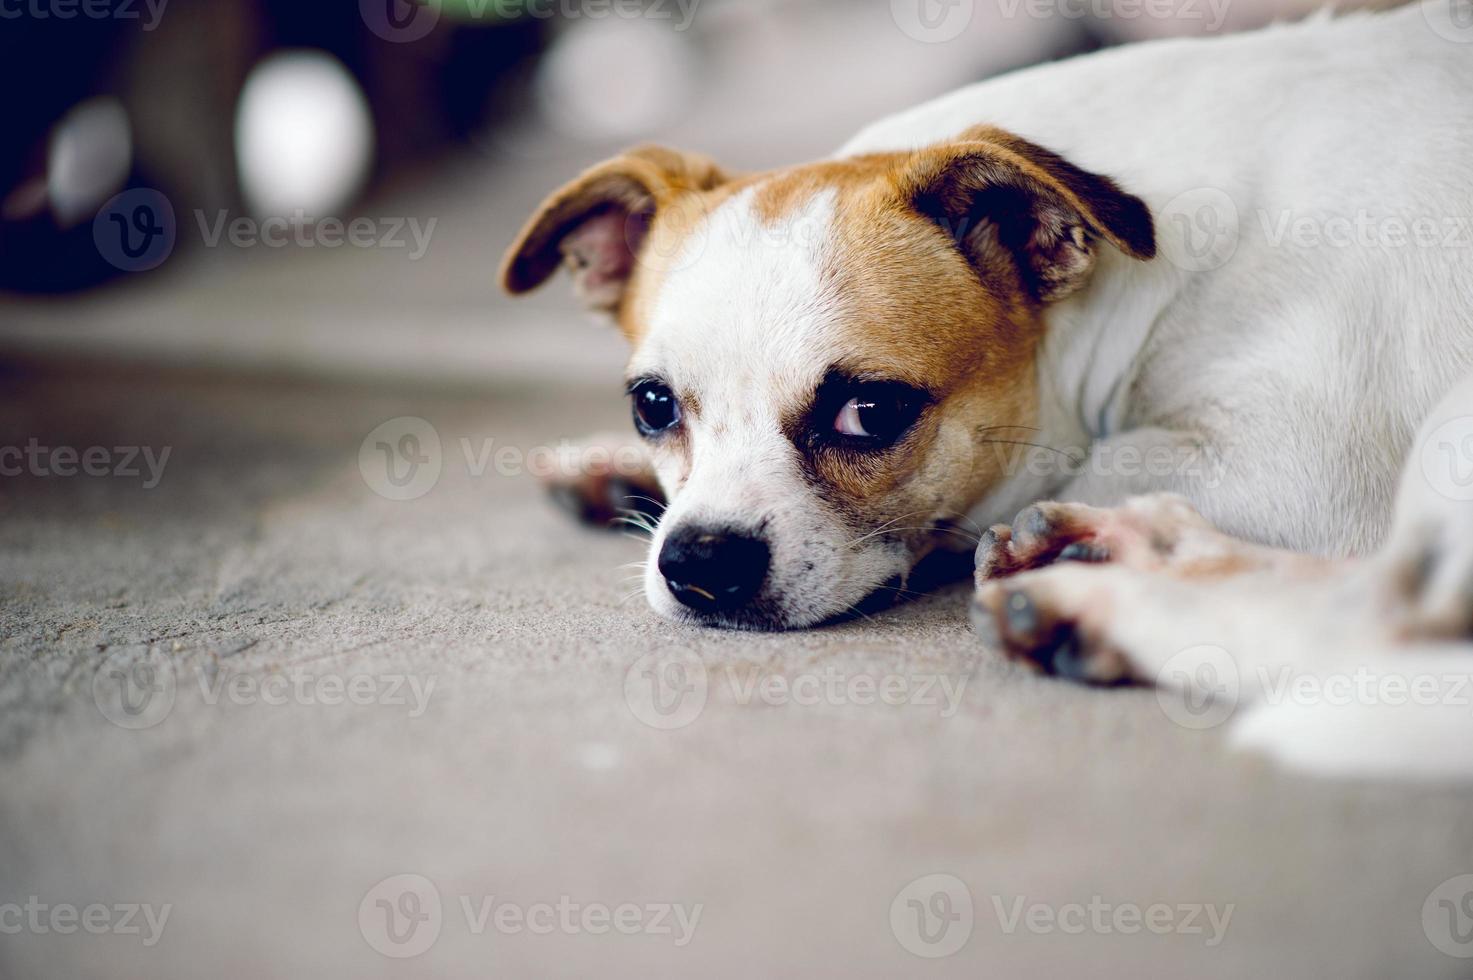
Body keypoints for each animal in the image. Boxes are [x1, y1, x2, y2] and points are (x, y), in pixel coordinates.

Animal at [503, 1, 1473, 778]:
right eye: (651, 406)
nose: (699, 560)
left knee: (1372, 617)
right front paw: (612, 469)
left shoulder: (1287, 466)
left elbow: (1080, 467)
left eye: (871, 412)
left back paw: (1112, 592)